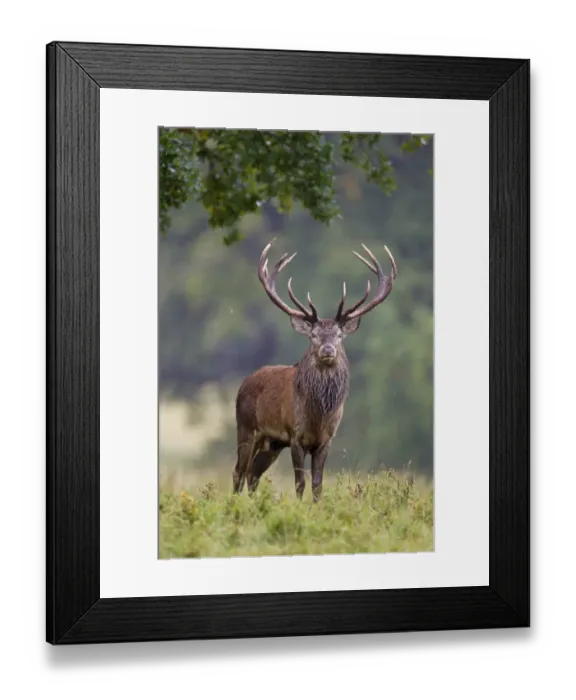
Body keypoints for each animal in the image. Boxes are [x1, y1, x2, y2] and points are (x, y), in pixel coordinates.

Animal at [232, 240, 398, 502]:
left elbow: (318, 484)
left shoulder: (326, 440)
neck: (318, 415)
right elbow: (300, 483)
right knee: (239, 471)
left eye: (339, 335)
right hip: (246, 428)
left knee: (253, 473)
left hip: (272, 443)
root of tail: (243, 384)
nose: (327, 349)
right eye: (313, 335)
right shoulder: (295, 436)